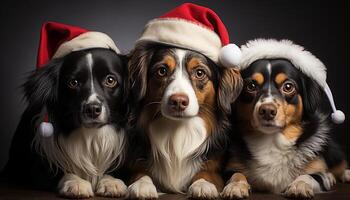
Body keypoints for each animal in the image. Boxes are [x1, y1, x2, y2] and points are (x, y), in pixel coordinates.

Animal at [126, 42, 243, 198]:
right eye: (162, 71)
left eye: (199, 73)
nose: (178, 101)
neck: (178, 130)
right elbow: (140, 172)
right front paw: (142, 184)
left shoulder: (215, 167)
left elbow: (206, 172)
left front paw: (203, 184)